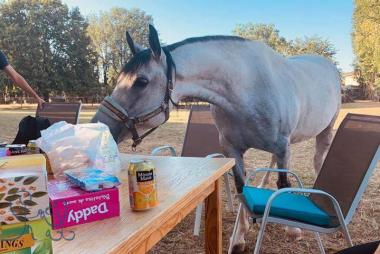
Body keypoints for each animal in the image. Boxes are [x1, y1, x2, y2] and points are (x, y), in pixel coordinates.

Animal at [92, 24, 342, 251]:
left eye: (141, 81)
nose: (100, 125)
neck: (247, 88)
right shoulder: (233, 150)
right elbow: (242, 189)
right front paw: (239, 237)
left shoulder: (282, 146)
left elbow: (283, 184)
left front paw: (292, 229)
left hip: (324, 131)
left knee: (317, 160)